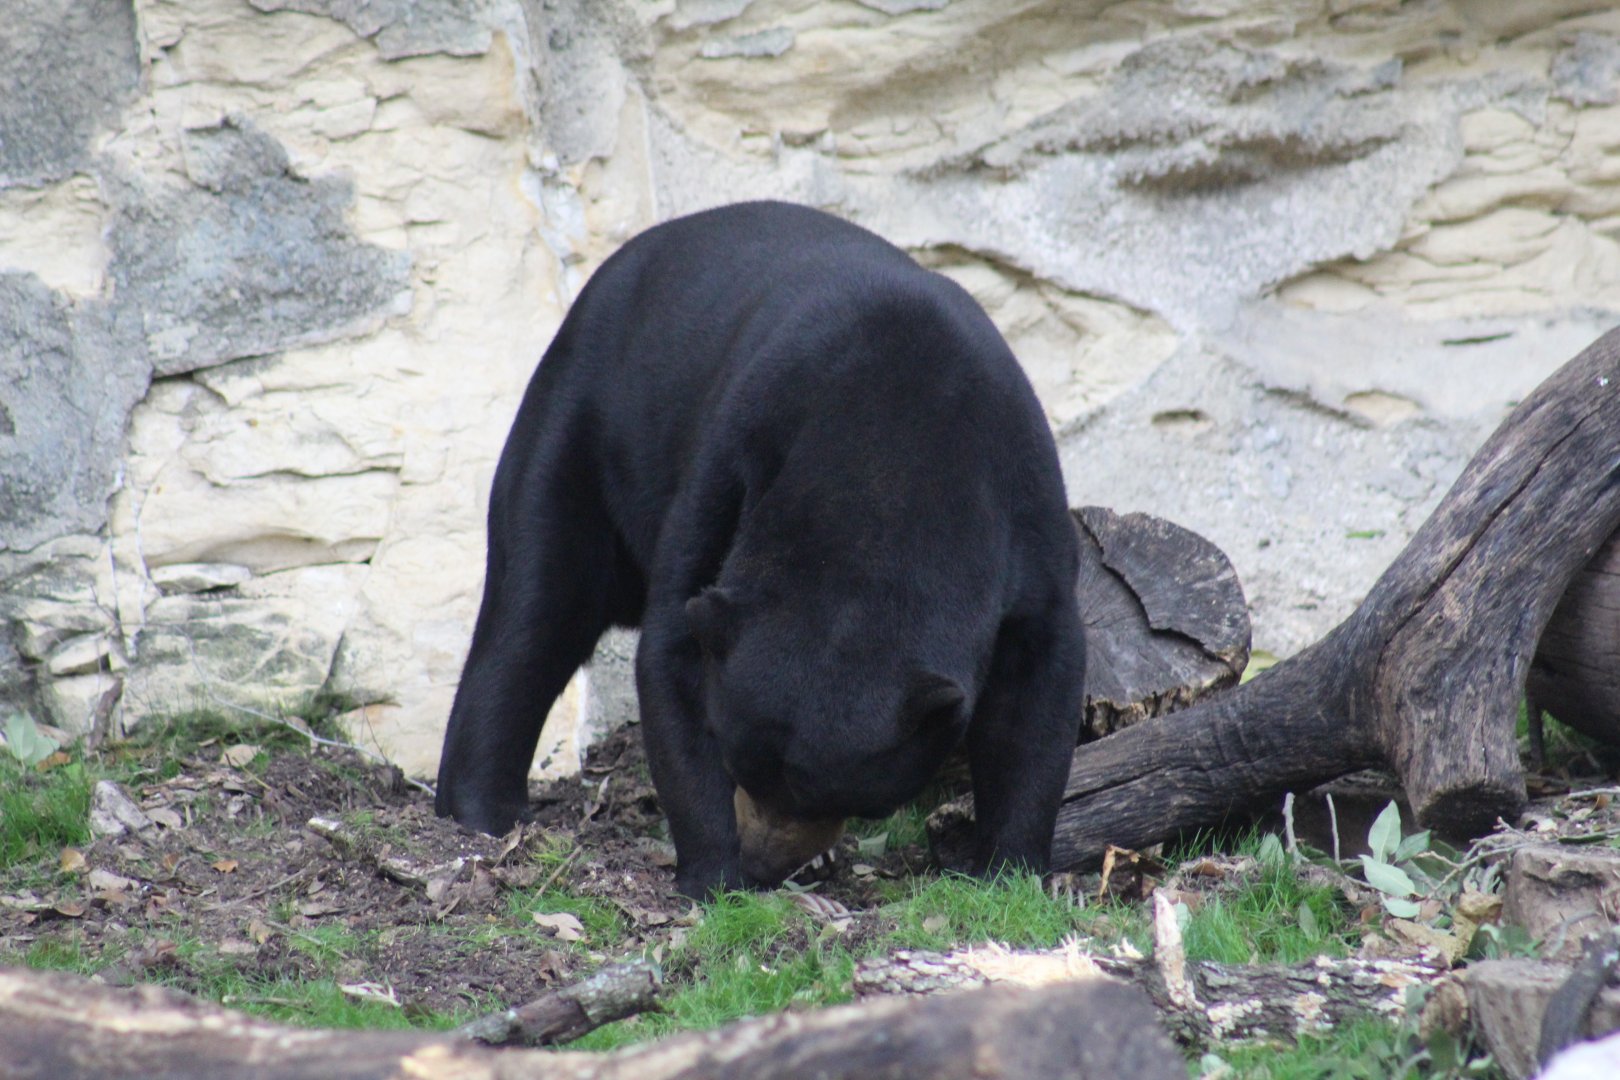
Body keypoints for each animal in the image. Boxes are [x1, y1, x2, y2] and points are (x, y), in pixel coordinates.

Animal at [435, 201, 1085, 899]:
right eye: (740, 761)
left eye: (847, 800)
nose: (767, 863)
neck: (889, 465)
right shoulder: (736, 452)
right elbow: (674, 649)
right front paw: (714, 874)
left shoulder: (1024, 504)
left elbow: (1040, 685)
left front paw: (1008, 867)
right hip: (578, 426)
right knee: (538, 608)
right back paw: (484, 810)